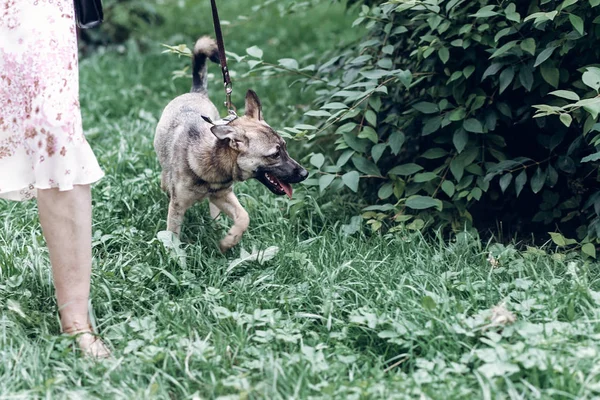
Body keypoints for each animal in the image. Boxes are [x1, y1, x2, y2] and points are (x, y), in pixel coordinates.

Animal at [155, 36, 308, 252]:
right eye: (274, 154)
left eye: (285, 147)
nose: (305, 173)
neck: (212, 159)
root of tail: (197, 92)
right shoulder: (177, 206)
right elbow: (173, 237)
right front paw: (174, 255)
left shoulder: (222, 195)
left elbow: (243, 217)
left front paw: (229, 241)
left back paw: (217, 228)